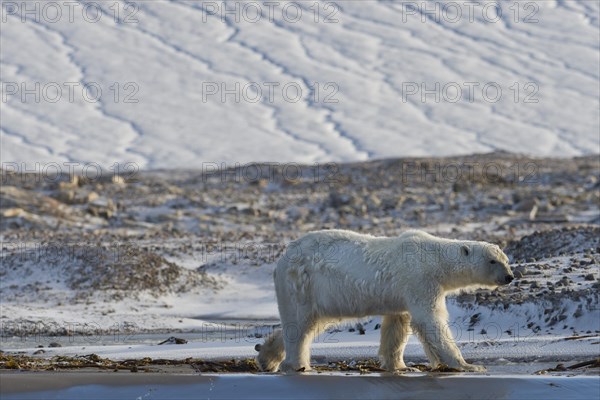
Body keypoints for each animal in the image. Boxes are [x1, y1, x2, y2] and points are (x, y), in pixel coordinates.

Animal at [255, 230, 512, 374]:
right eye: (492, 261)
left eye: (506, 259)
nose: (509, 277)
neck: (434, 259)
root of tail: (282, 259)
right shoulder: (419, 279)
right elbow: (430, 321)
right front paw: (468, 365)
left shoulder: (402, 293)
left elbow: (397, 326)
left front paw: (402, 366)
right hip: (302, 283)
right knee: (299, 325)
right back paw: (298, 365)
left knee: (312, 322)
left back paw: (267, 357)